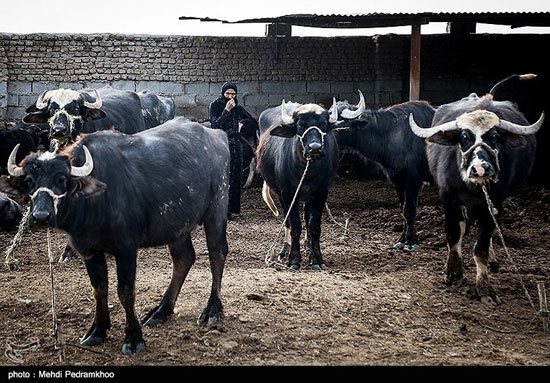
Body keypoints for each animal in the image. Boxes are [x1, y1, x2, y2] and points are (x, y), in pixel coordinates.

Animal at [0, 118, 231, 356]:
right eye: (29, 181)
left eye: (61, 179)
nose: (41, 216)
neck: (95, 199)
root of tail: (217, 135)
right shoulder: (88, 250)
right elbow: (99, 289)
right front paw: (97, 331)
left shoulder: (126, 248)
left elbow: (126, 291)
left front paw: (133, 338)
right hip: (177, 226)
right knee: (183, 259)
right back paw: (161, 311)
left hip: (217, 207)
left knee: (217, 253)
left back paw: (212, 309)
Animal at [336, 95, 436, 252]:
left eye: (339, 120)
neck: (392, 134)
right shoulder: (397, 180)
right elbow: (403, 210)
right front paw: (401, 240)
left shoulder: (413, 180)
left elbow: (409, 209)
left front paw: (411, 242)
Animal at [410, 93, 548, 306]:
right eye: (464, 137)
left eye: (495, 137)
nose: (480, 168)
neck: (472, 187)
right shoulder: (448, 198)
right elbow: (453, 235)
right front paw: (453, 274)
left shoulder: (494, 203)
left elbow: (480, 248)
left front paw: (484, 288)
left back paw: (493, 261)